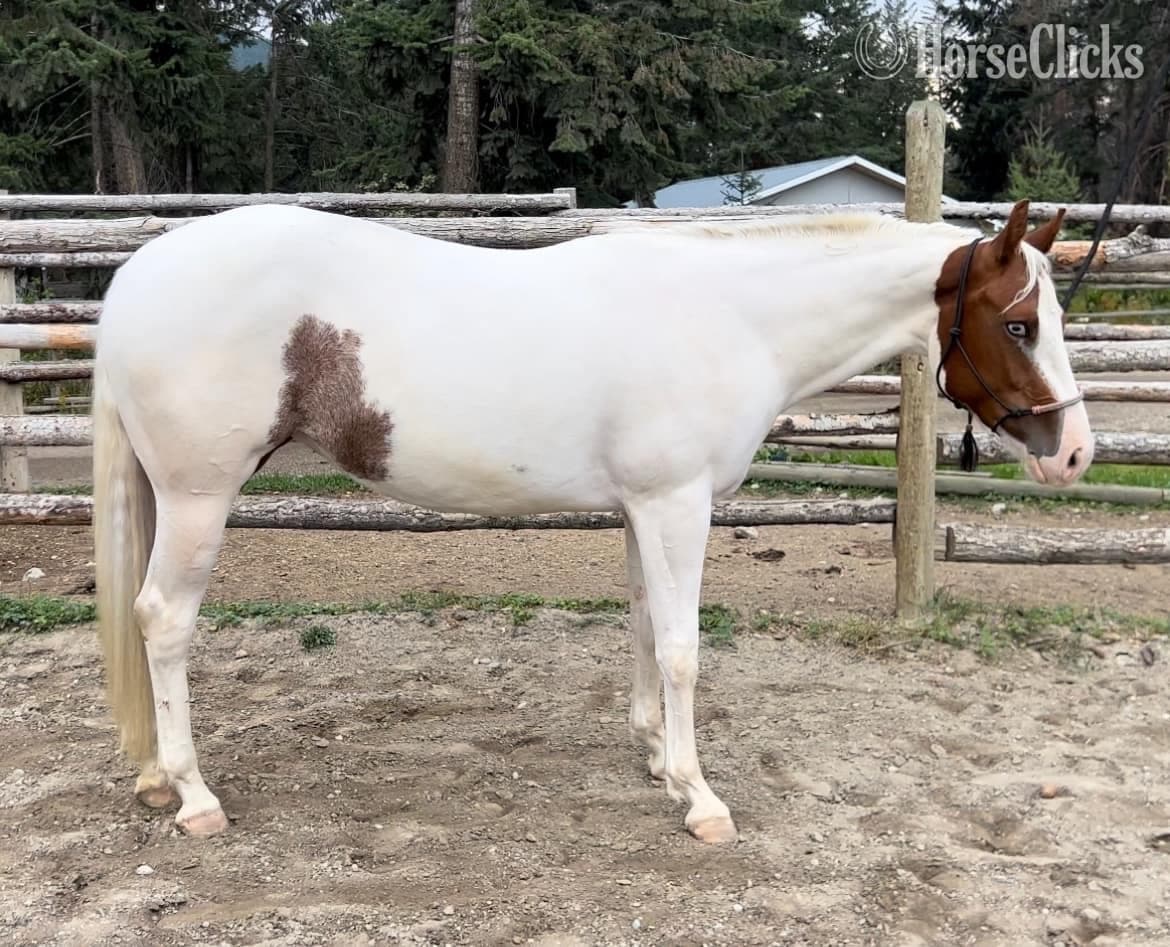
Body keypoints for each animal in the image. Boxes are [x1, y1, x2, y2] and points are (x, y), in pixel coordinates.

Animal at [91, 198, 1091, 845]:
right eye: (1019, 322)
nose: (1075, 452)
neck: (732, 316)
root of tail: (137, 274)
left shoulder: (643, 509)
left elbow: (646, 629)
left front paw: (656, 757)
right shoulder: (680, 504)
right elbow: (684, 647)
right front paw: (701, 798)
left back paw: (155, 779)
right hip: (199, 497)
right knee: (163, 621)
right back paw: (194, 795)